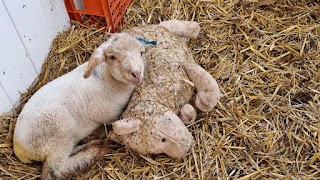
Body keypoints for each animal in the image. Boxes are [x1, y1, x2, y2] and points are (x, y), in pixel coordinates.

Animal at [13, 33, 145, 179]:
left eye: (141, 52)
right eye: (112, 57)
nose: (137, 74)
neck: (107, 79)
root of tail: (19, 148)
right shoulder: (107, 115)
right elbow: (114, 126)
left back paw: (92, 143)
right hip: (60, 130)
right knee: (54, 171)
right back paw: (95, 151)